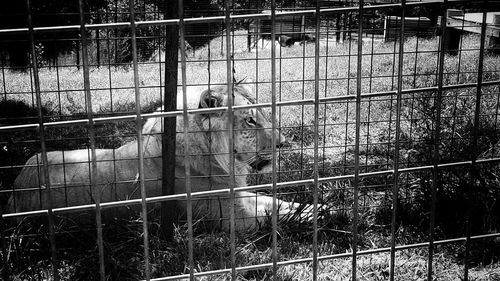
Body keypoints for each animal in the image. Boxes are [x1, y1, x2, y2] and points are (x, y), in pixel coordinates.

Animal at [9, 82, 310, 231]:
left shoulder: (238, 194)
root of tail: (17, 187)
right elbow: (275, 216)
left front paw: (314, 207)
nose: (283, 144)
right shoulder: (231, 217)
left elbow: (281, 203)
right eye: (250, 120)